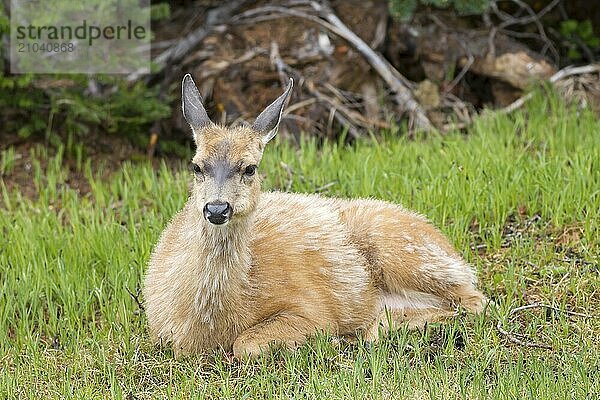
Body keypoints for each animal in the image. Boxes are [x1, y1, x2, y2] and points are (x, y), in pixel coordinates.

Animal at [145, 73, 488, 358]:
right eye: (196, 166)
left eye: (250, 168)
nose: (217, 208)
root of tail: (450, 248)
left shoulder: (312, 306)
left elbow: (247, 344)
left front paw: (325, 340)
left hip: (407, 253)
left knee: (475, 300)